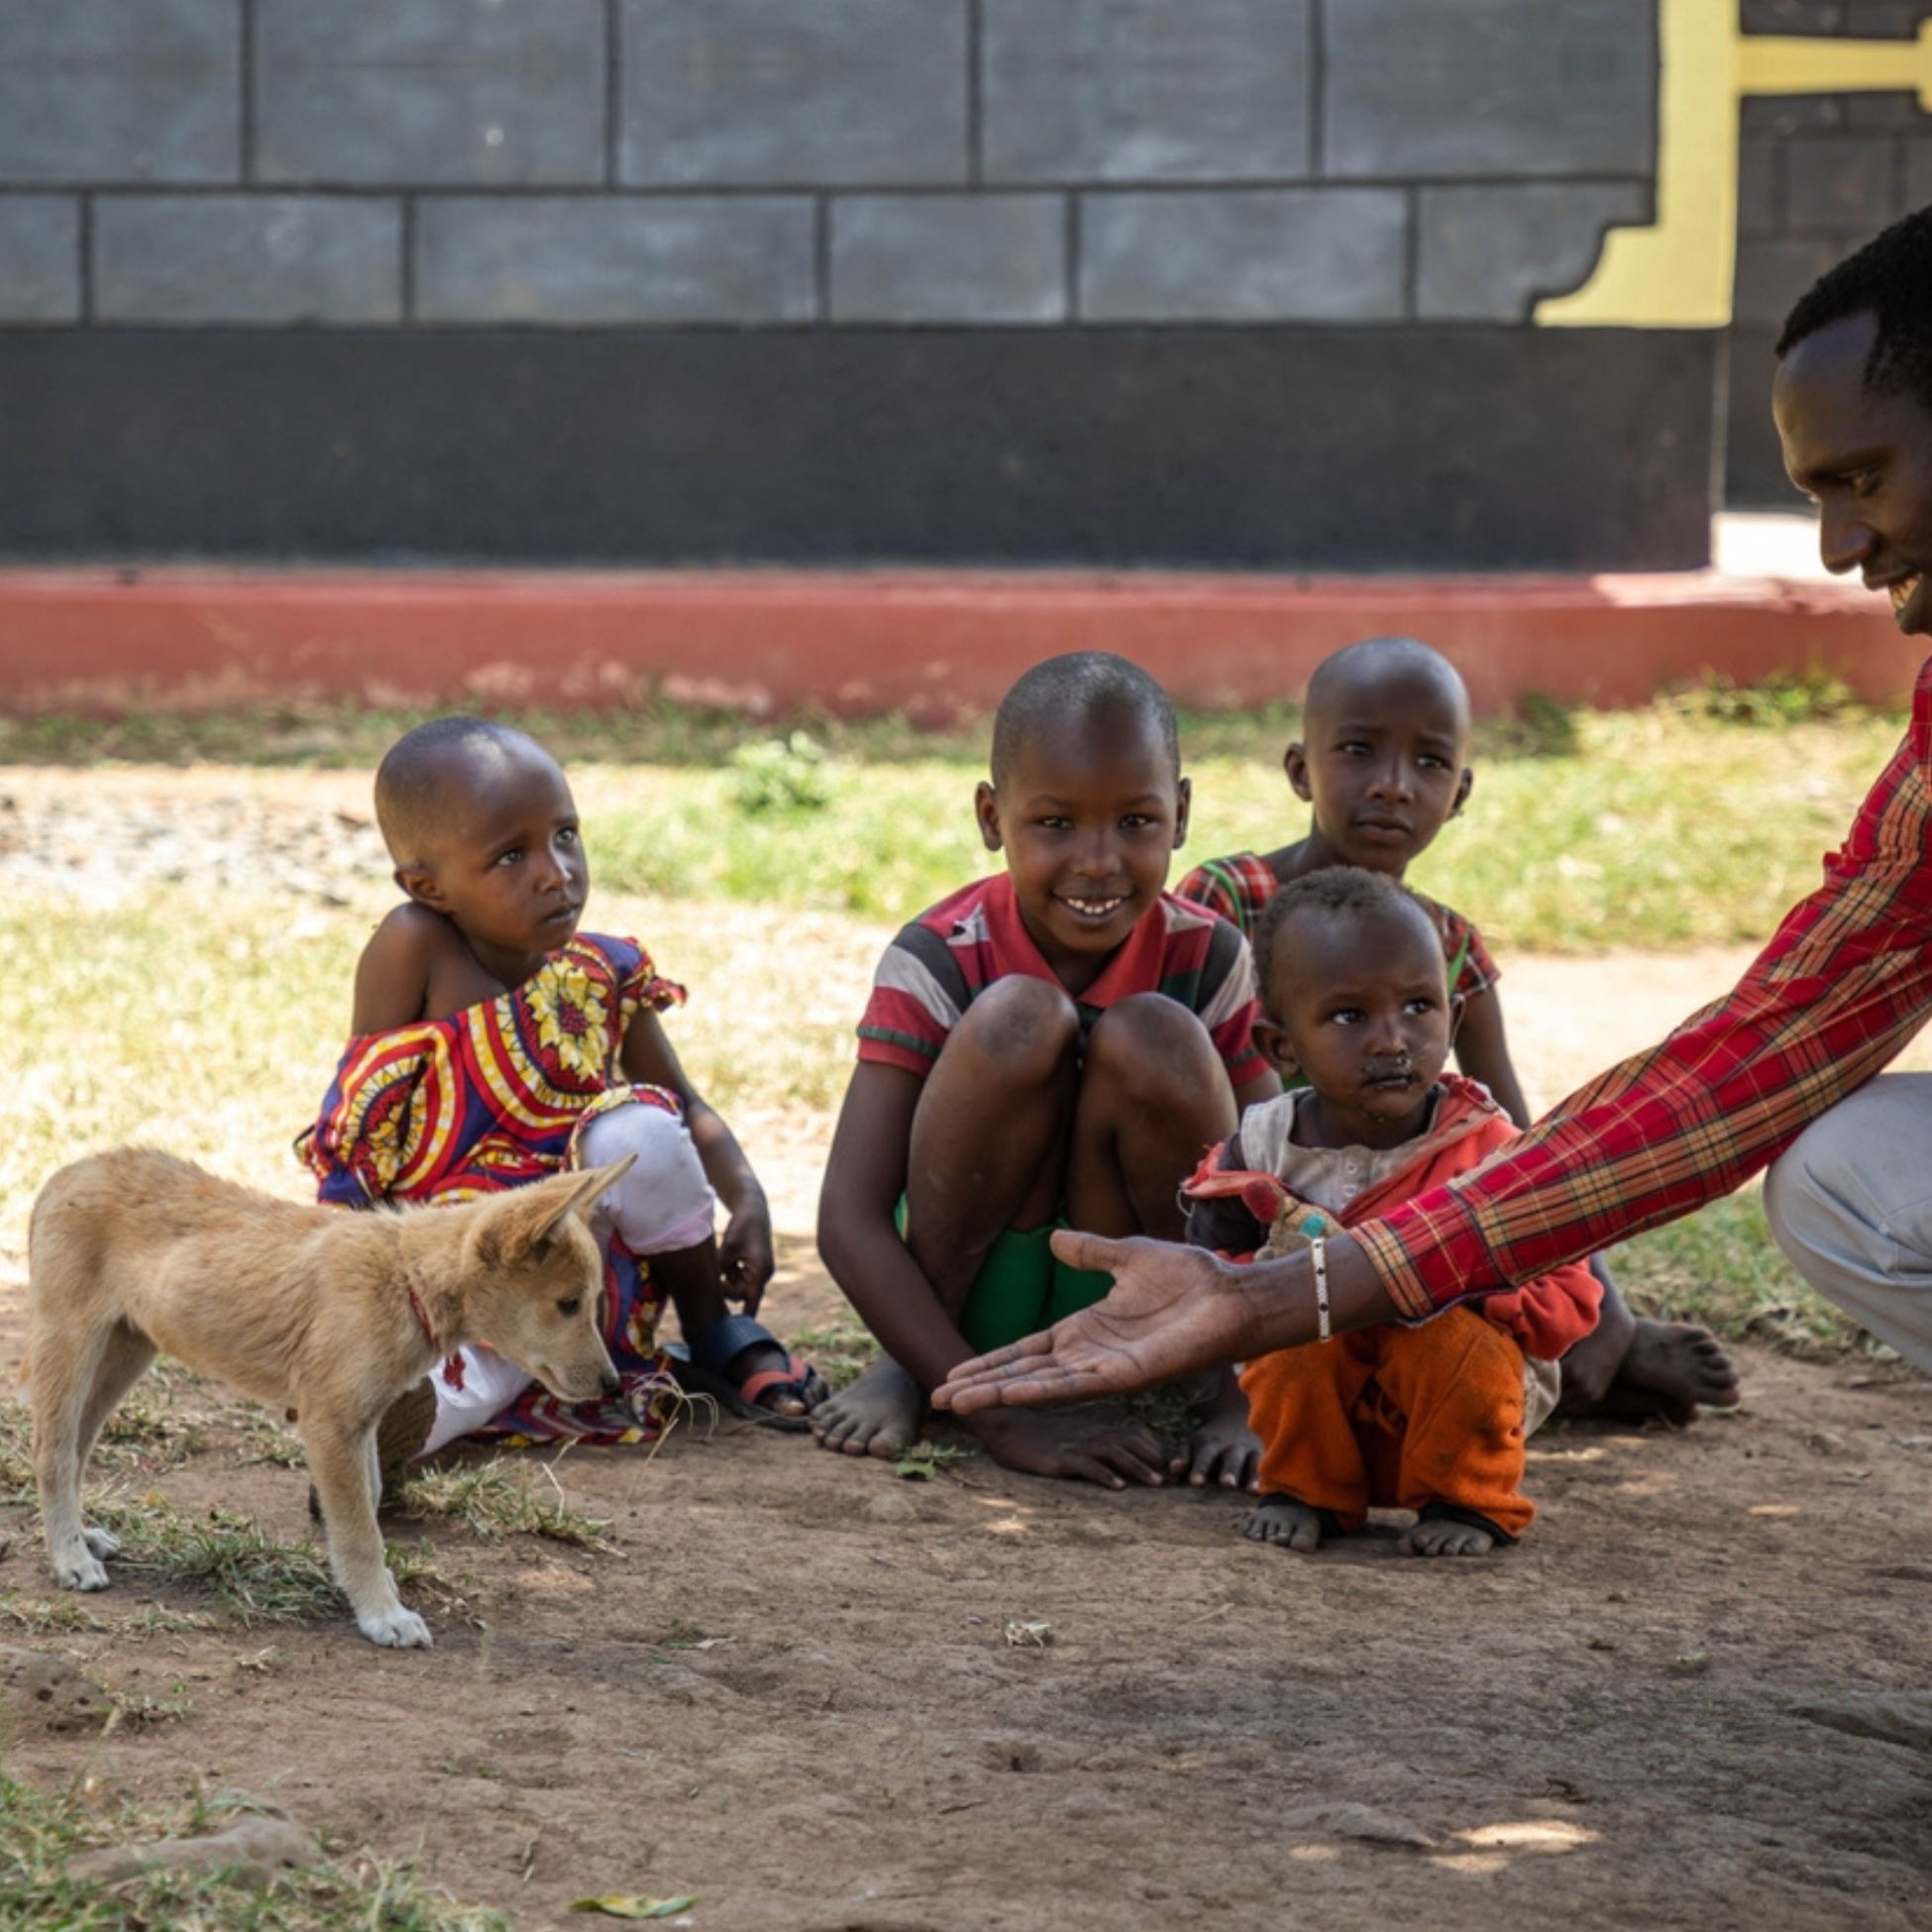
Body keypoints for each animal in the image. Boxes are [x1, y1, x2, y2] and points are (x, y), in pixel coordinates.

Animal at [22, 1143, 637, 1646]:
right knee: (51, 1454)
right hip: (71, 1345)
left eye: (589, 1302)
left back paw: (83, 1536)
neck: (404, 1281)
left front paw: (379, 1592)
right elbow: (359, 1530)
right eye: (568, 1305)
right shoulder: (329, 1423)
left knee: (75, 1450)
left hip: (125, 1355)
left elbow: (369, 1502)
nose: (612, 1385)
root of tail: (67, 1172)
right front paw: (382, 1615)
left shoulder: (361, 1425)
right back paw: (69, 1557)